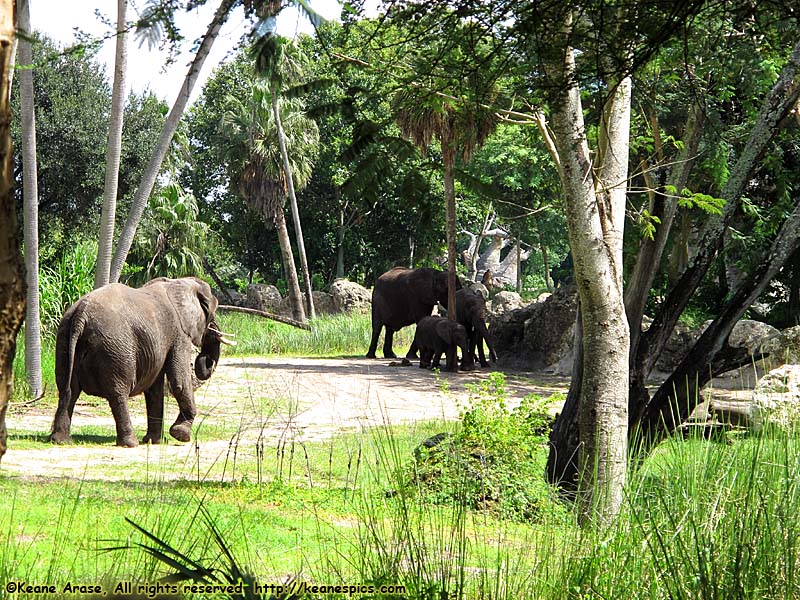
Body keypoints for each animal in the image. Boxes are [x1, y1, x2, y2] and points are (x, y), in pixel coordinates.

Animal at [49, 276, 233, 446]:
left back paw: (61, 441)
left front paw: (155, 441)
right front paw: (181, 435)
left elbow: (155, 389)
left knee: (68, 390)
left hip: (64, 337)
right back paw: (130, 443)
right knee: (118, 393)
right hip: (116, 349)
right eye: (212, 313)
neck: (178, 283)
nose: (207, 360)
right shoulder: (179, 334)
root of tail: (81, 313)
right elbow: (179, 382)